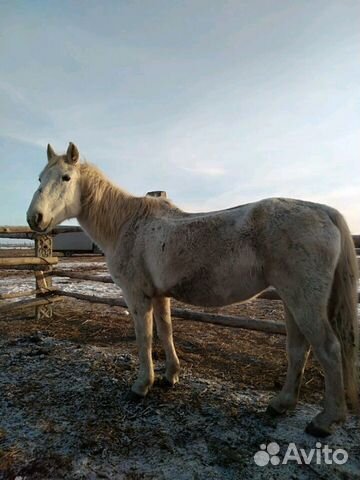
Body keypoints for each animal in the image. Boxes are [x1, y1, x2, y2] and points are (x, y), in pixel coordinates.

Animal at [26, 142, 358, 436]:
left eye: (66, 178)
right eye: (40, 178)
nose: (34, 218)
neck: (128, 225)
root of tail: (323, 210)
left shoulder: (137, 296)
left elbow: (144, 338)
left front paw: (141, 386)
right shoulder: (159, 296)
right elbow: (166, 332)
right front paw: (170, 376)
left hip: (304, 302)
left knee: (329, 349)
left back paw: (325, 421)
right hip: (292, 300)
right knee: (298, 349)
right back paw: (281, 404)